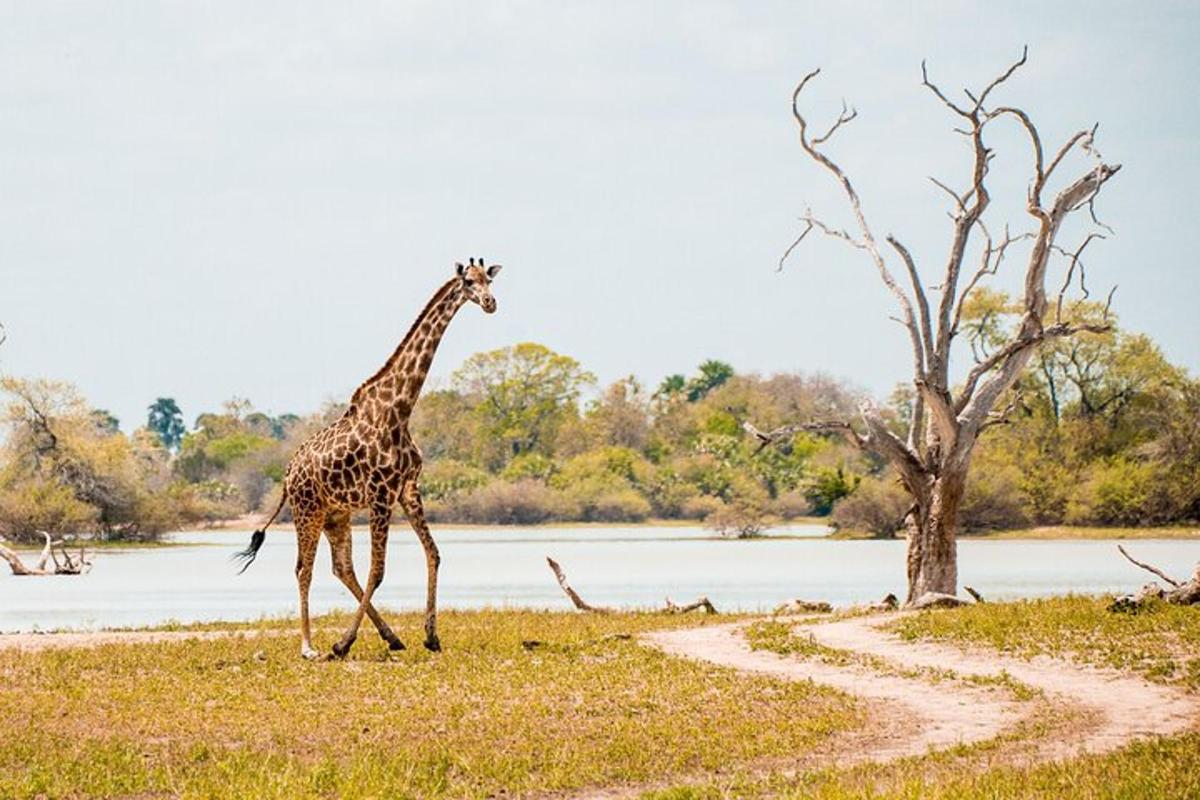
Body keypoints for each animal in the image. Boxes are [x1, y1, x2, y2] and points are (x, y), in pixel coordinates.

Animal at [234, 260, 501, 662]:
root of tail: (287, 475)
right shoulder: (380, 494)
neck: (400, 410)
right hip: (307, 511)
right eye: (468, 282)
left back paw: (391, 637)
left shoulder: (407, 489)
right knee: (303, 570)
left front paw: (431, 637)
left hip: (336, 515)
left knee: (341, 568)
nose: (490, 302)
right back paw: (310, 647)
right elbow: (379, 569)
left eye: (490, 280)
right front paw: (342, 643)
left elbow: (434, 554)